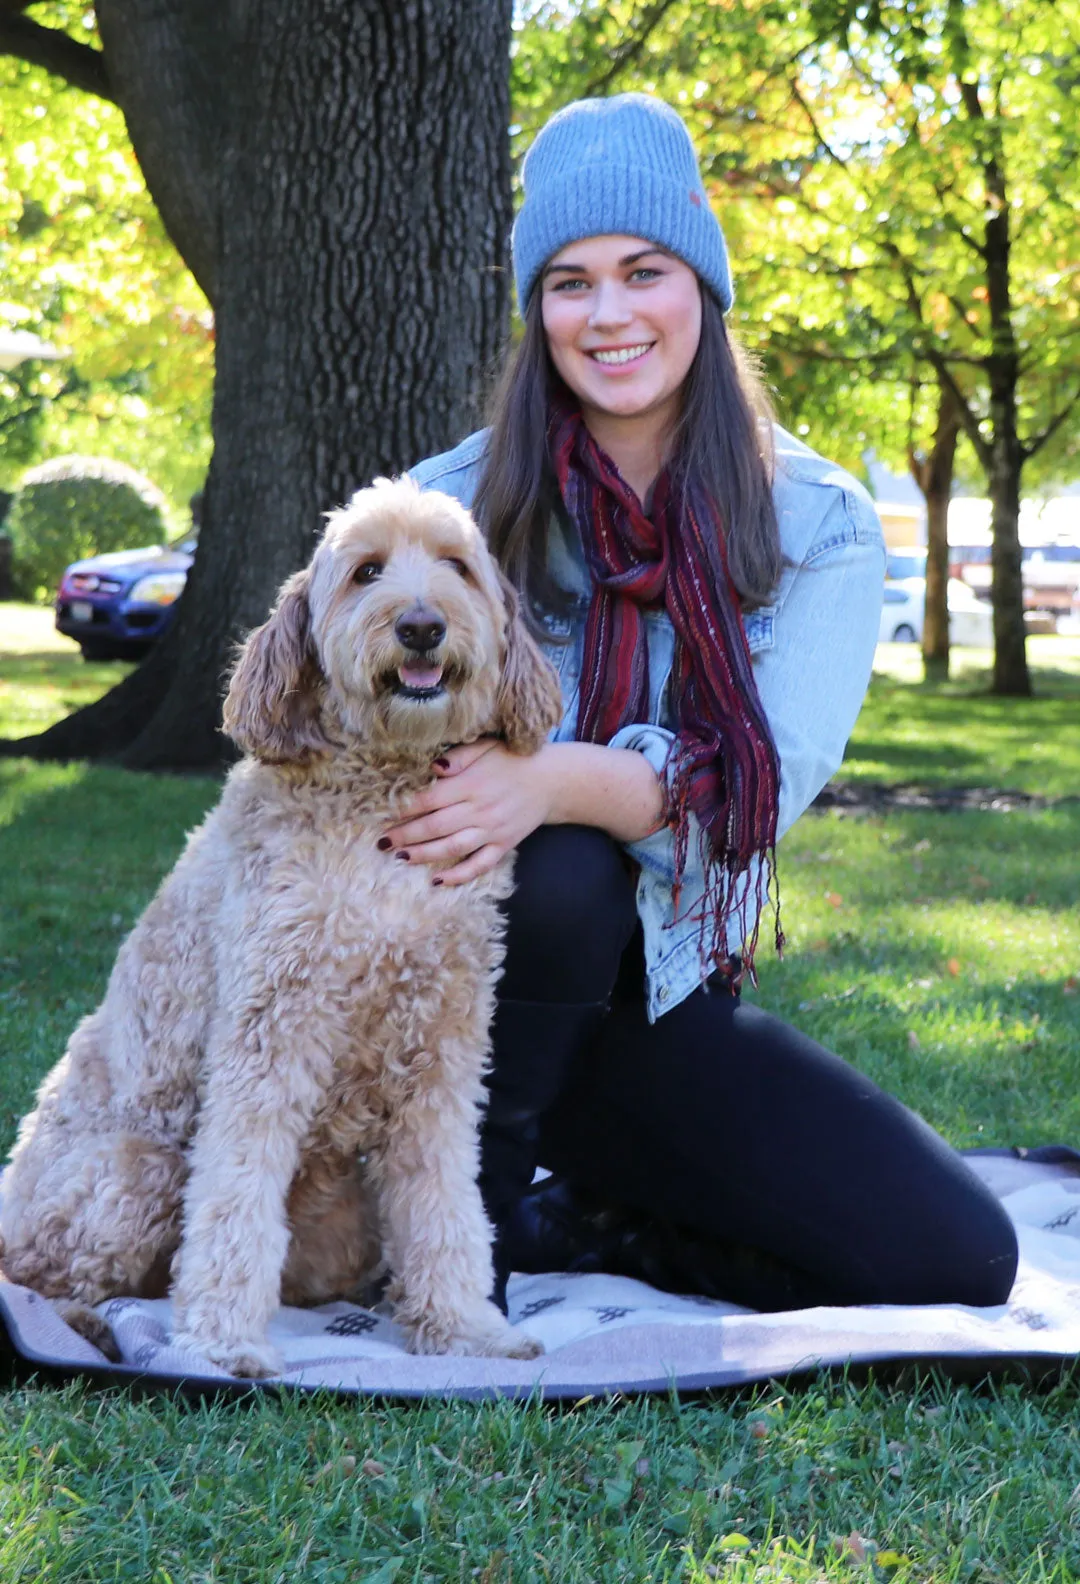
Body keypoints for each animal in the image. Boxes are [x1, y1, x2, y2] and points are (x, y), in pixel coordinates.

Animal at [0, 475, 566, 1381]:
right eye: (367, 571)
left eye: (456, 567)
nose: (422, 625)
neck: (381, 805)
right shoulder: (268, 1031)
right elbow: (234, 1194)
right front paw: (222, 1342)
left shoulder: (443, 1049)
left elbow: (446, 1197)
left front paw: (463, 1330)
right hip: (135, 1167)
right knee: (42, 1279)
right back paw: (98, 1331)